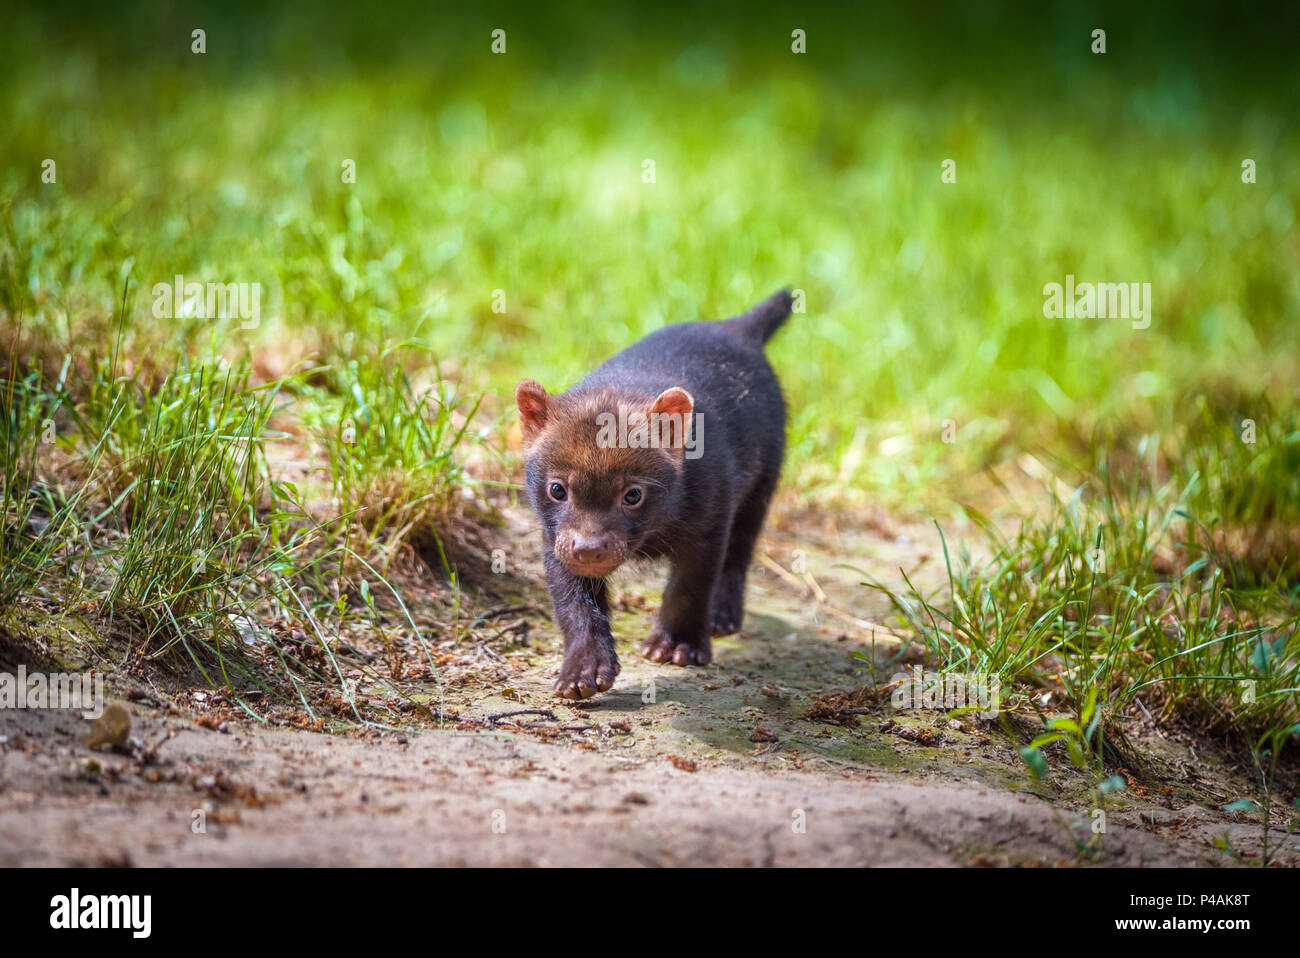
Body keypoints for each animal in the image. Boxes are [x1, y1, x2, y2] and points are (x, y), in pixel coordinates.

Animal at [517, 287, 790, 696]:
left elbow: (689, 588)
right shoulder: (556, 540)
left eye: (633, 494)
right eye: (557, 489)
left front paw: (677, 646)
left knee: (740, 552)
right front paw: (582, 673)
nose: (589, 549)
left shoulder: (710, 523)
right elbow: (575, 606)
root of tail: (735, 326)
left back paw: (722, 617)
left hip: (762, 483)